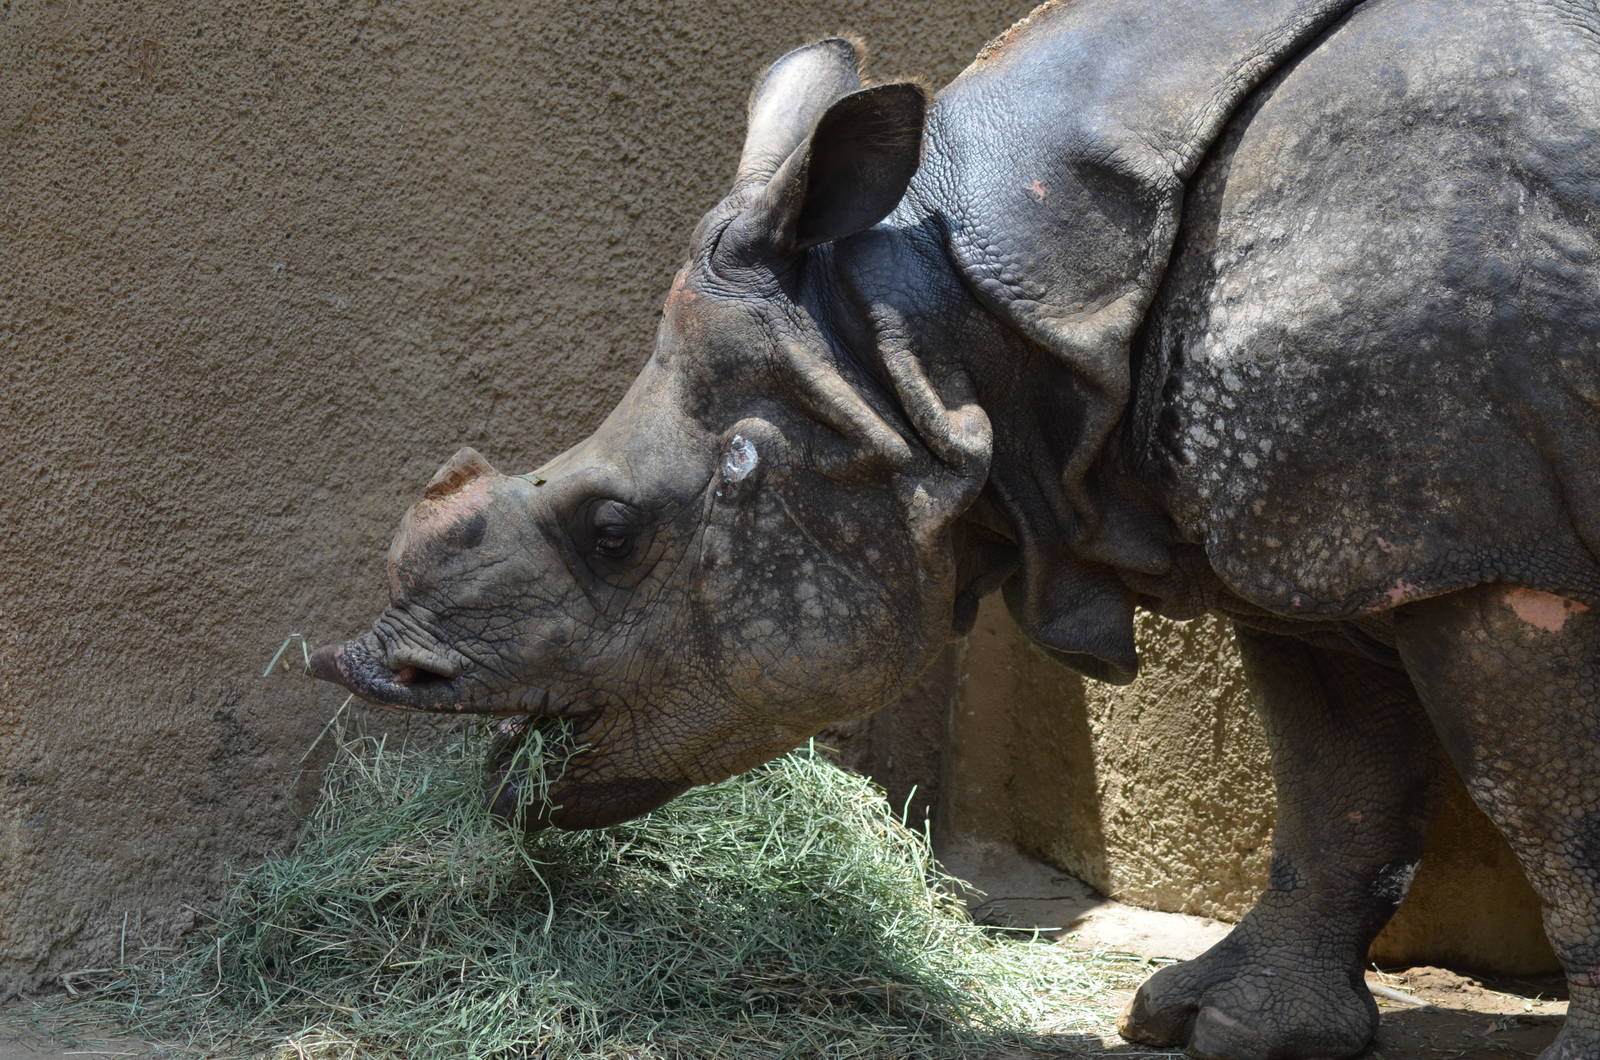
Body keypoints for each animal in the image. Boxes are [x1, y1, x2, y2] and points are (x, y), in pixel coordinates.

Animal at [311, 0, 1600, 1056]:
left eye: (613, 528)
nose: (376, 667)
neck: (925, 339)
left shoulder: (1485, 555)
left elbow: (1551, 807)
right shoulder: (1327, 530)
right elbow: (1338, 774)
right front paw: (1225, 1025)